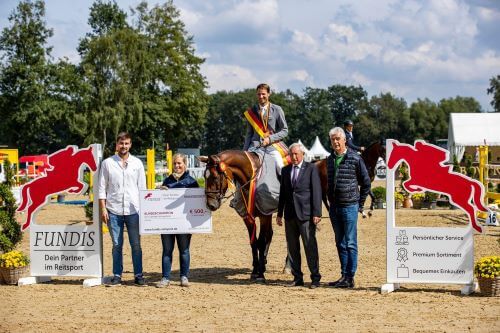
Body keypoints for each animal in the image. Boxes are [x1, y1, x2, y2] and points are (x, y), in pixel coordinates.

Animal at [198, 150, 272, 280]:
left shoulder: (265, 215)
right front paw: (255, 270)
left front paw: (261, 273)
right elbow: (254, 242)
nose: (210, 205)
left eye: (215, 177)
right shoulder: (247, 217)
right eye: (204, 177)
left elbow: (262, 242)